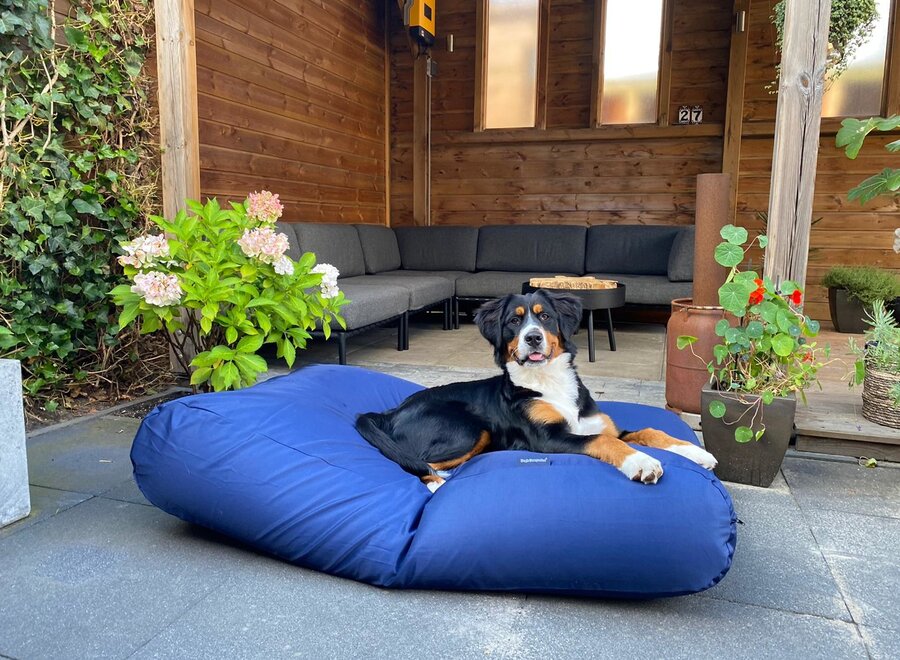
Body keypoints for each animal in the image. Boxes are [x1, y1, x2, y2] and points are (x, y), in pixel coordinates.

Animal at [356, 288, 712, 490]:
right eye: (514, 322)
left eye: (546, 317)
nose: (533, 338)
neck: (547, 380)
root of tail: (389, 412)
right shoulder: (548, 438)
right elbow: (604, 442)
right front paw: (641, 463)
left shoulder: (601, 425)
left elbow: (649, 431)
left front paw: (696, 452)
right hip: (468, 430)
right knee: (412, 461)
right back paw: (435, 485)